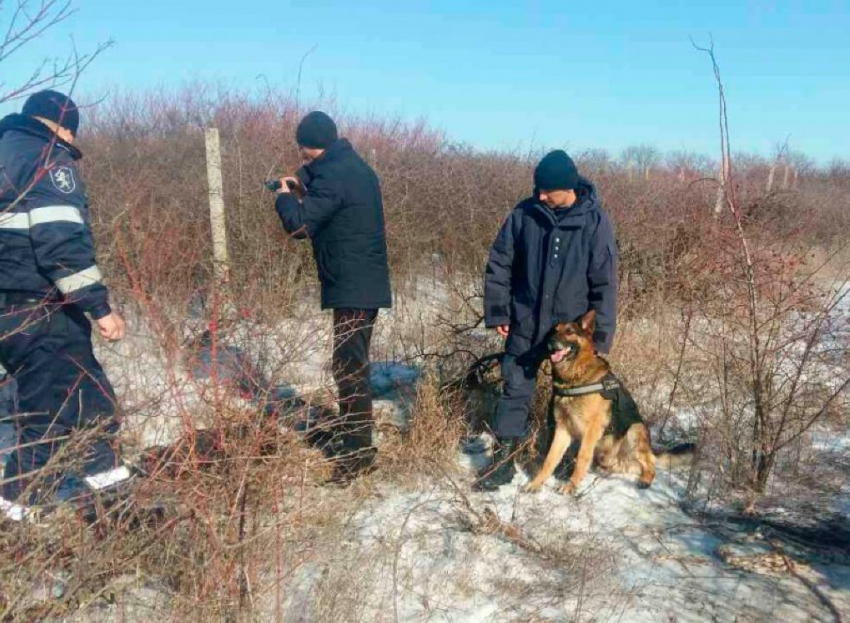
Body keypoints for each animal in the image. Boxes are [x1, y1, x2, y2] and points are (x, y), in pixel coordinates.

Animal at [528, 312, 660, 498]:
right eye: (555, 330)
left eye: (569, 331)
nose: (550, 341)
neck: (575, 378)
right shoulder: (562, 429)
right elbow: (550, 459)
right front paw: (536, 483)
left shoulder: (591, 430)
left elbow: (582, 456)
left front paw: (571, 486)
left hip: (635, 431)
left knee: (650, 464)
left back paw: (646, 479)